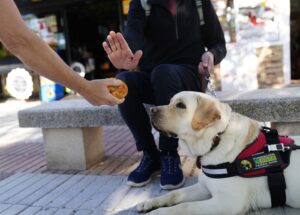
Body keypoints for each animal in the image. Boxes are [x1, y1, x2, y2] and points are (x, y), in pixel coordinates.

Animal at [137, 91, 300, 214]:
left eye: (180, 105)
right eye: (170, 102)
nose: (151, 110)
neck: (216, 139)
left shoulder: (227, 202)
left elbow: (185, 206)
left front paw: (157, 213)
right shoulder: (205, 187)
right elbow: (175, 193)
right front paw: (150, 203)